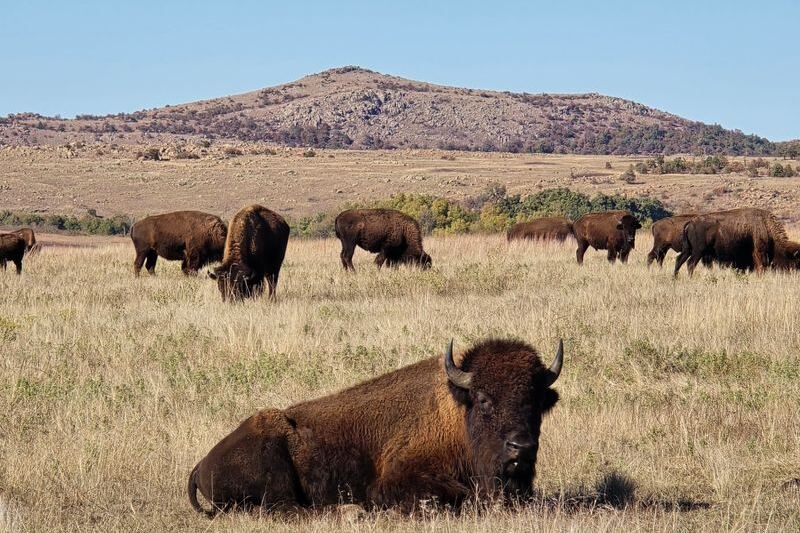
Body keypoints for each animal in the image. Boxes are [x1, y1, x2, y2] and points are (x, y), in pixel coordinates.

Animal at [188, 337, 563, 515]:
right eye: (484, 399)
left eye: (536, 400)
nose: (521, 447)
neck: (458, 411)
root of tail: (201, 463)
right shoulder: (395, 480)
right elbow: (457, 496)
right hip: (273, 467)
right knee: (287, 511)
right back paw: (352, 512)